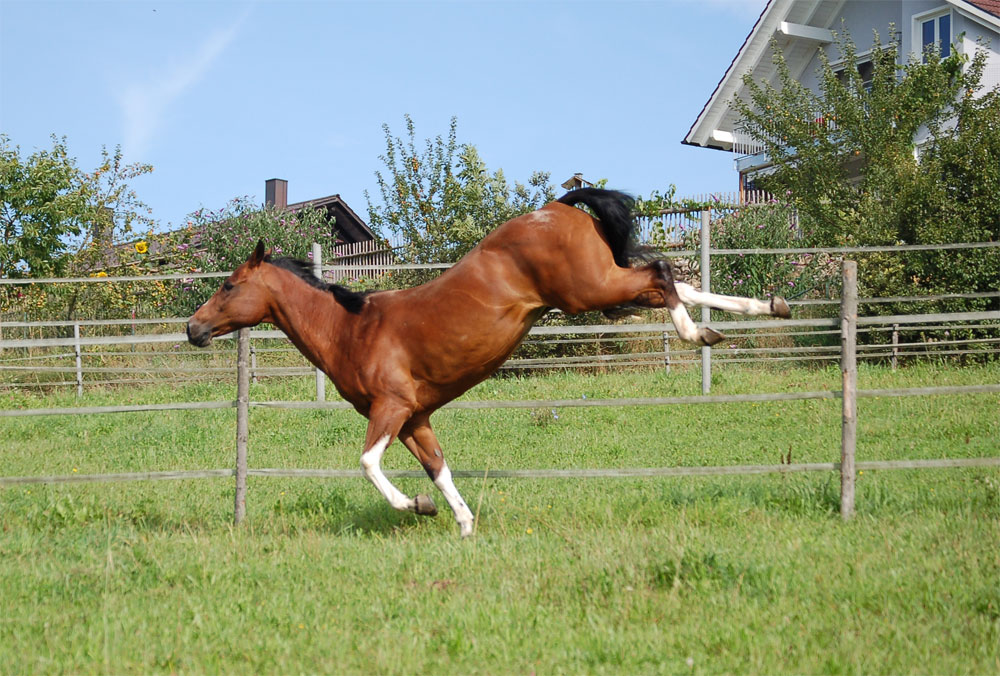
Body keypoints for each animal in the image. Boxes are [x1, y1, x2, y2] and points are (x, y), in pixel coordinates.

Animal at [189, 190, 788, 540]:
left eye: (229, 286)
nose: (193, 329)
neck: (353, 328)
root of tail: (560, 204)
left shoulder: (391, 409)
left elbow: (367, 464)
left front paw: (418, 507)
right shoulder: (416, 418)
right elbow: (439, 467)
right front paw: (462, 522)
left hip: (589, 289)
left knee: (663, 274)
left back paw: (699, 332)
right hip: (600, 286)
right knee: (673, 282)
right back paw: (760, 310)